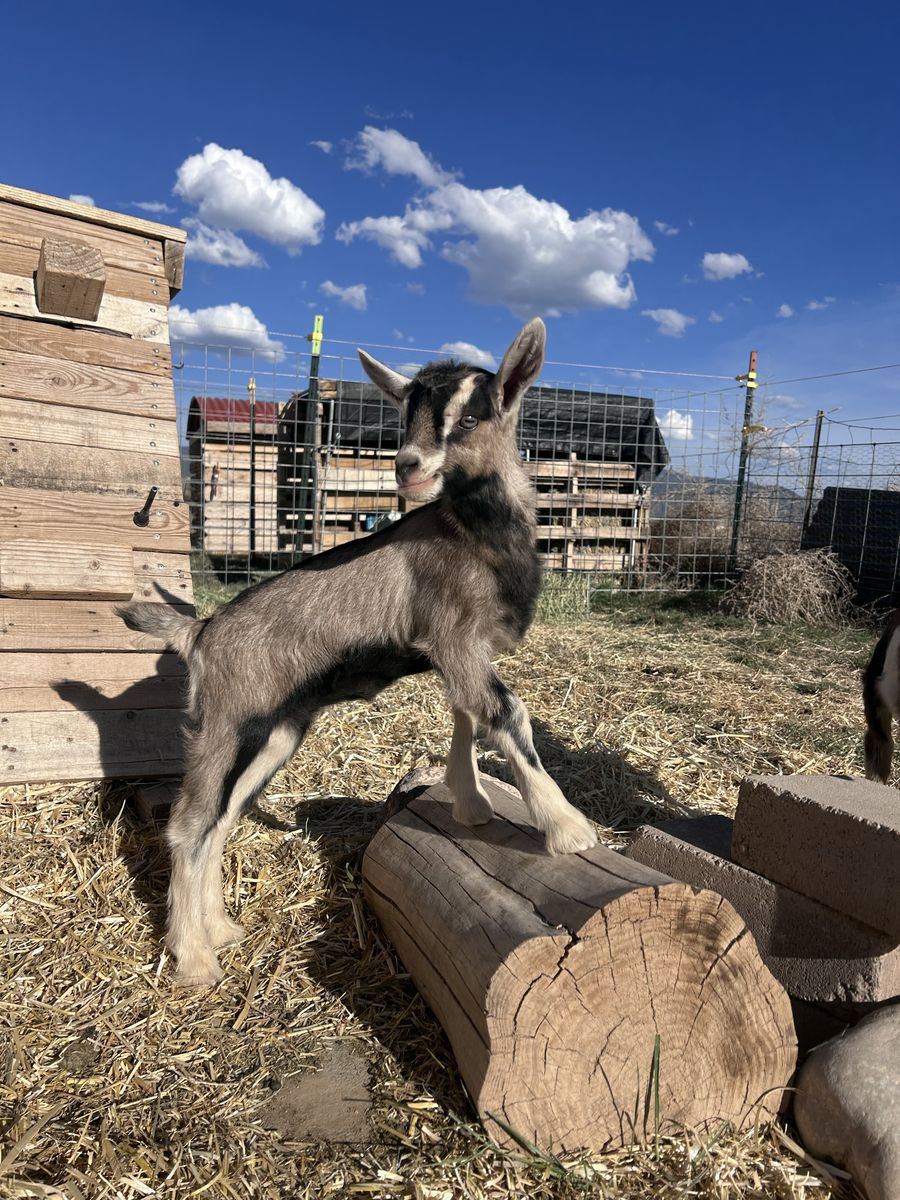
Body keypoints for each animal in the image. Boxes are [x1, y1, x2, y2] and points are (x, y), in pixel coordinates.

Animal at [119, 318, 597, 986]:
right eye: (405, 415)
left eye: (472, 417)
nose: (408, 466)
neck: (475, 535)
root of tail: (201, 633)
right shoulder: (455, 638)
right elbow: (507, 714)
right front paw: (569, 829)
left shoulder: (461, 654)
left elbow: (468, 715)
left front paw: (471, 805)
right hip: (230, 722)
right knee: (189, 825)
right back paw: (194, 960)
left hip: (273, 732)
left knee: (221, 819)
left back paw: (222, 930)